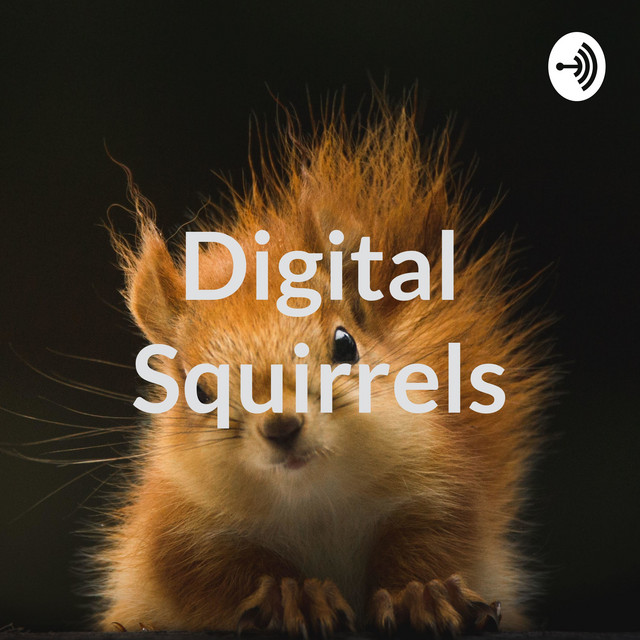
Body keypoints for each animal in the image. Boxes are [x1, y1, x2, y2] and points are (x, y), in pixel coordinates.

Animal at [95, 96, 552, 635]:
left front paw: (423, 593)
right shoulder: (176, 532)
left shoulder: (439, 488)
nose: (282, 426)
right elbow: (219, 575)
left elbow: (431, 543)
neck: (312, 500)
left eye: (346, 344)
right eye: (200, 391)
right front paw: (293, 596)